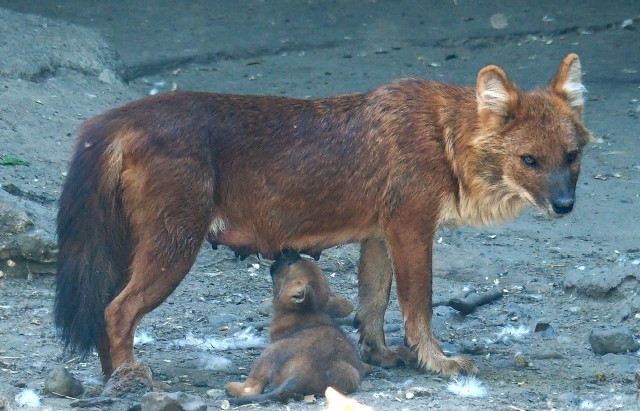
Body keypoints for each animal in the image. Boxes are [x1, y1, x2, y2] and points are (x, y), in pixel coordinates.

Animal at [55, 54, 592, 384]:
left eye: (571, 156)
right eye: (529, 161)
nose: (565, 206)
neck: (444, 138)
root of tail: (116, 117)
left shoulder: (379, 235)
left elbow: (373, 303)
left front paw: (380, 355)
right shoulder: (411, 230)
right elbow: (418, 305)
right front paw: (437, 362)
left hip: (128, 247)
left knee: (100, 309)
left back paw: (111, 379)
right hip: (174, 245)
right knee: (116, 311)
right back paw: (130, 378)